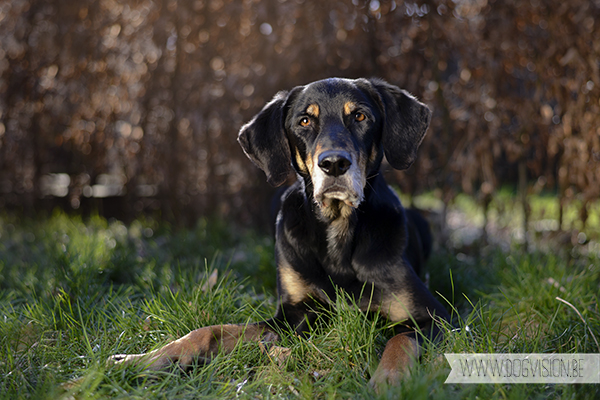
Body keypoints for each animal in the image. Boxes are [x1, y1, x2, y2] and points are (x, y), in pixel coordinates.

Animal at [110, 77, 450, 388]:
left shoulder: (433, 316)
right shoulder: (292, 315)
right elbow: (209, 331)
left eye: (360, 116)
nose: (334, 163)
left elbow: (400, 341)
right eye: (304, 121)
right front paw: (142, 360)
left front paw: (389, 381)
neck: (338, 231)